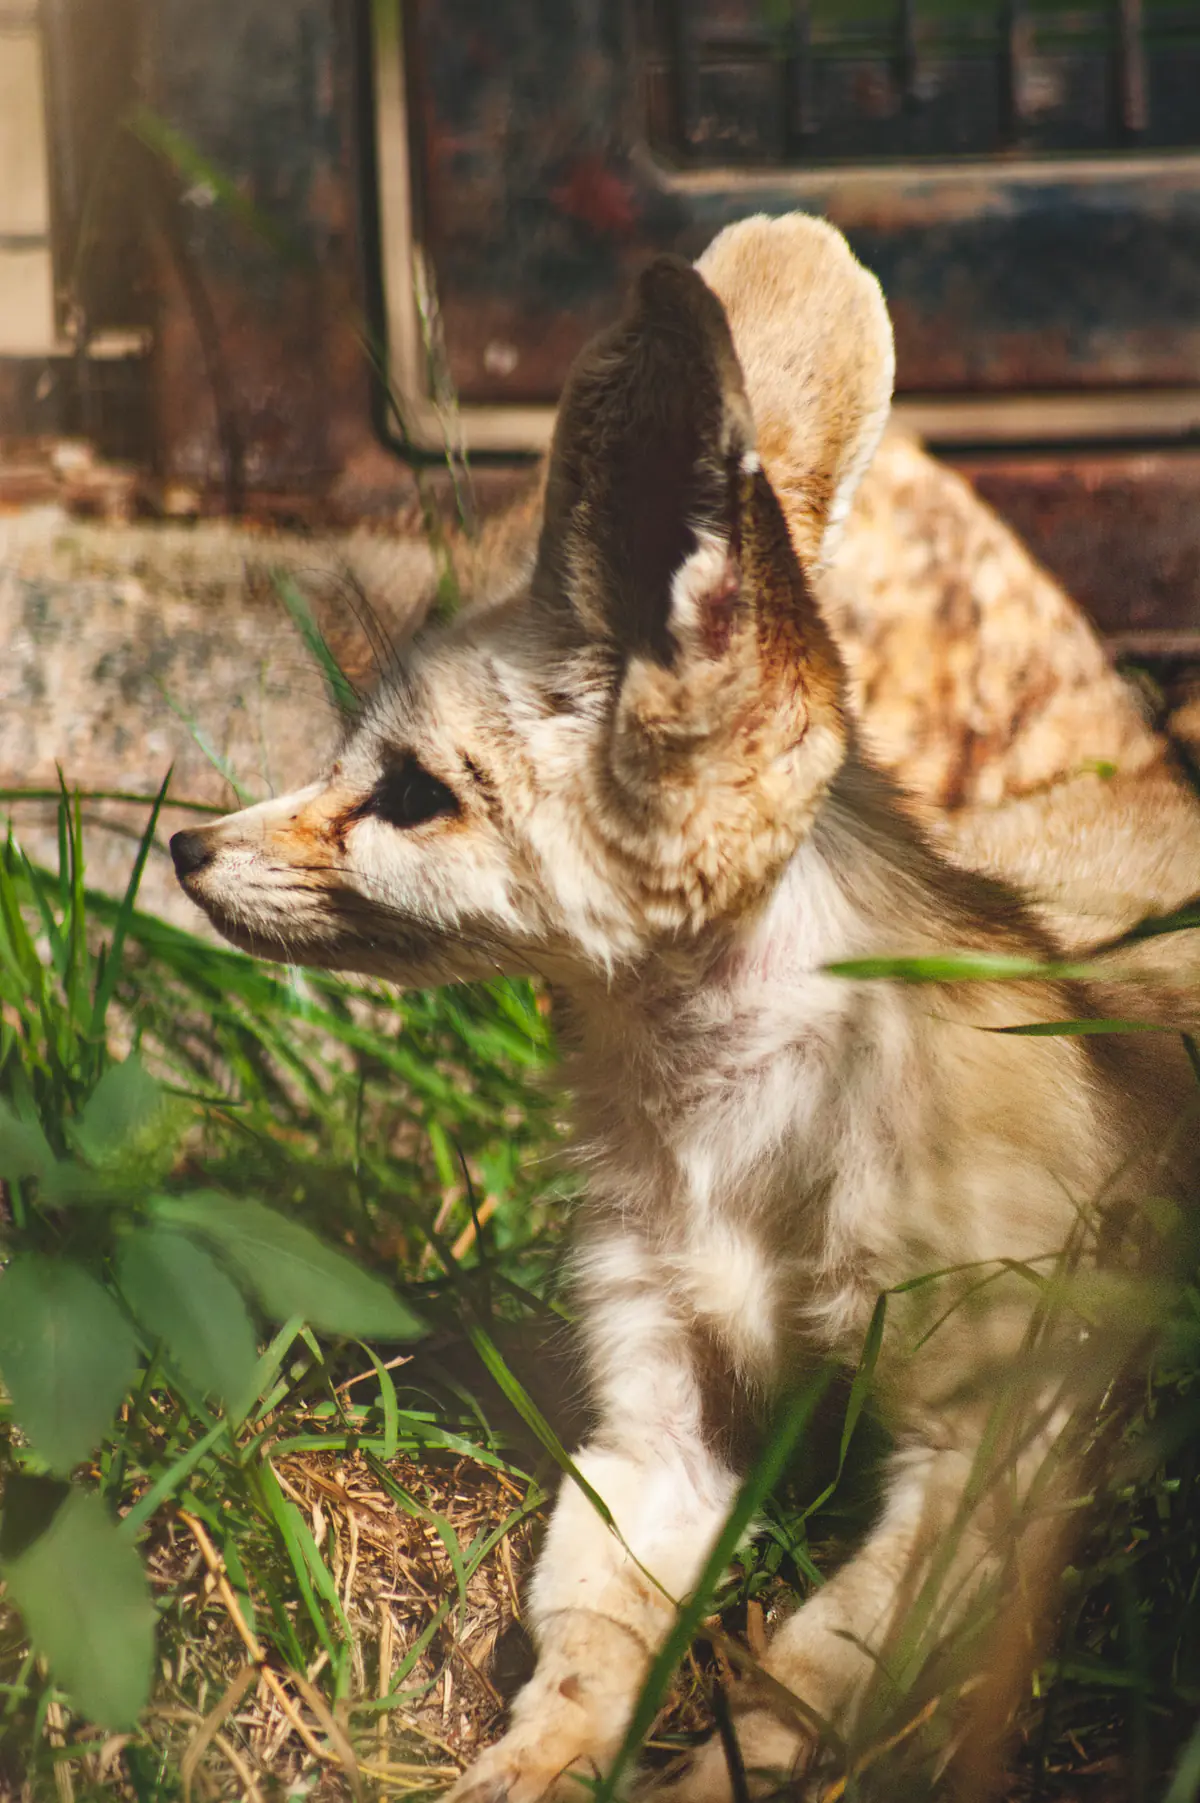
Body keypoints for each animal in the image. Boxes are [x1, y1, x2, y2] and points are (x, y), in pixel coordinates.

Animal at [171, 214, 1199, 1801]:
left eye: (405, 793)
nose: (181, 848)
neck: (739, 1137)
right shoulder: (656, 1413)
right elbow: (585, 1635)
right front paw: (532, 1762)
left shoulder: (991, 1446)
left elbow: (806, 1681)